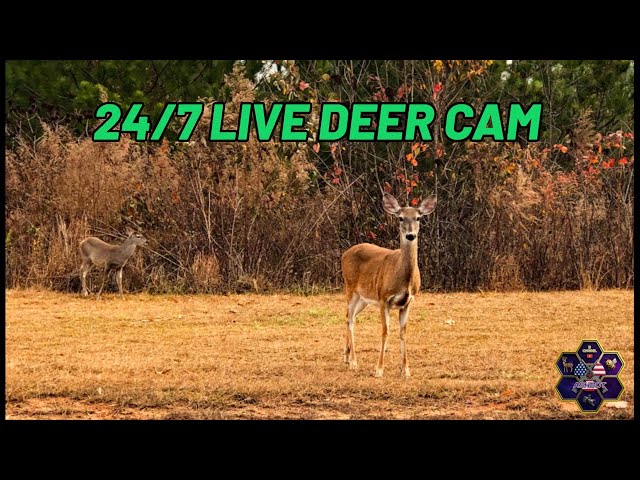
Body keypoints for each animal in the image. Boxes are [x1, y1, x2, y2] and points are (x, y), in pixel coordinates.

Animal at [341, 192, 437, 378]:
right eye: (400, 218)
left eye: (418, 217)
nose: (410, 235)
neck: (403, 279)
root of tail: (345, 253)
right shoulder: (383, 298)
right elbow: (385, 331)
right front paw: (379, 369)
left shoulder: (408, 302)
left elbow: (403, 332)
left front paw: (405, 370)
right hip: (350, 288)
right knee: (350, 319)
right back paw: (354, 362)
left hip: (364, 298)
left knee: (350, 316)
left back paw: (347, 357)